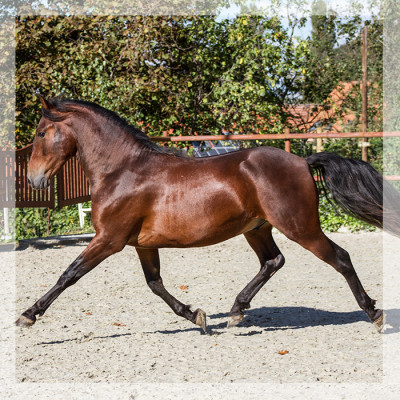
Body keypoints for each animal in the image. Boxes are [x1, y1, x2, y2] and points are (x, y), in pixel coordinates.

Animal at [14, 95, 396, 332]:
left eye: (41, 132)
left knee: (340, 258)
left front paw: (28, 315)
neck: (122, 170)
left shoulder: (109, 239)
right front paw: (196, 315)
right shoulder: (141, 244)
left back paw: (374, 313)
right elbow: (155, 284)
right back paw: (236, 311)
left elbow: (69, 275)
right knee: (272, 261)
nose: (34, 180)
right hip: (257, 228)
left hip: (300, 226)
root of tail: (302, 161)